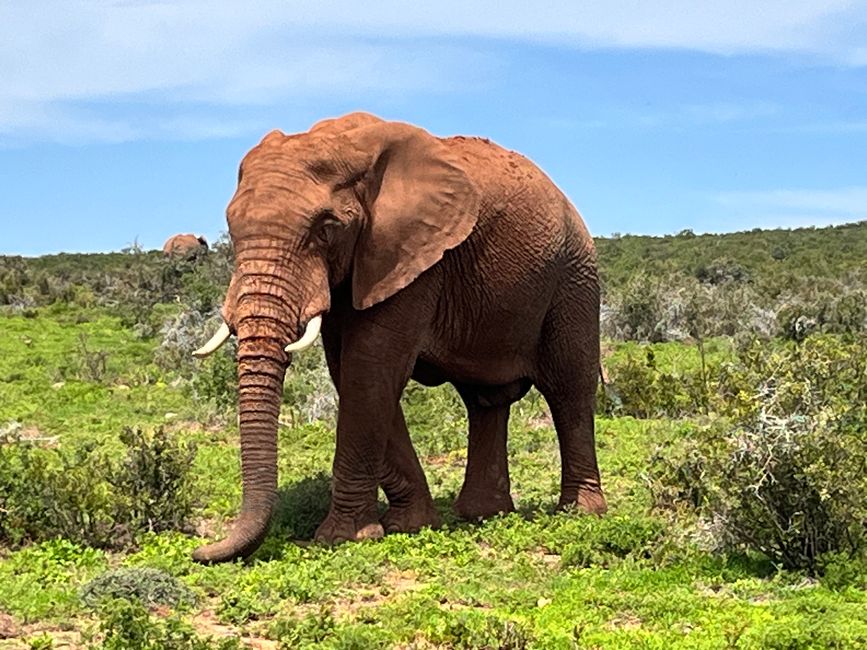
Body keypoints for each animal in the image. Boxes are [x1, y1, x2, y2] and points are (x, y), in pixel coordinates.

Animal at [192, 111, 608, 560]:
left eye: (326, 229)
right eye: (232, 230)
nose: (200, 551)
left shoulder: (411, 256)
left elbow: (370, 367)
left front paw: (342, 538)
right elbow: (351, 373)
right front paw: (411, 525)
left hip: (574, 278)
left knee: (569, 389)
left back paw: (580, 513)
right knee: (485, 401)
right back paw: (483, 514)